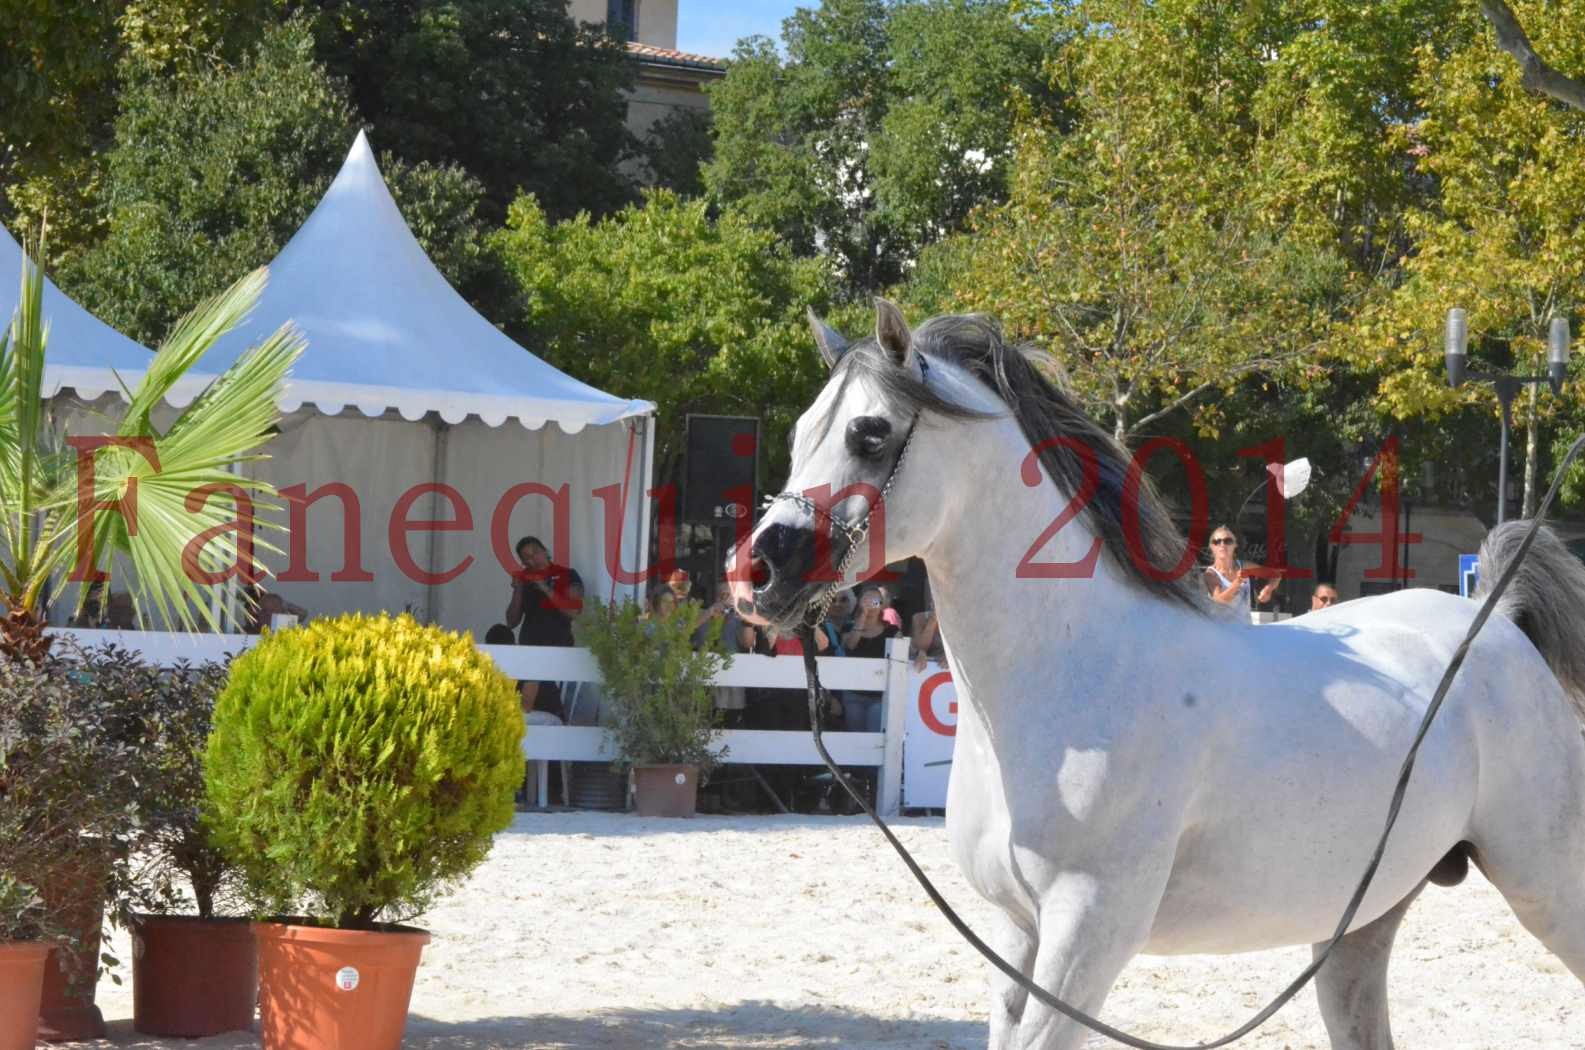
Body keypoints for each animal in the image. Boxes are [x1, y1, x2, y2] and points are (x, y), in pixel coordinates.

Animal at [725, 299, 1585, 1046]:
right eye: (801, 432)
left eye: (869, 434)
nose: (755, 573)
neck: (1072, 675)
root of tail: (1498, 622)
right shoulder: (1016, 934)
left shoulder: (1088, 932)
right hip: (1359, 921)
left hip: (1550, 889)